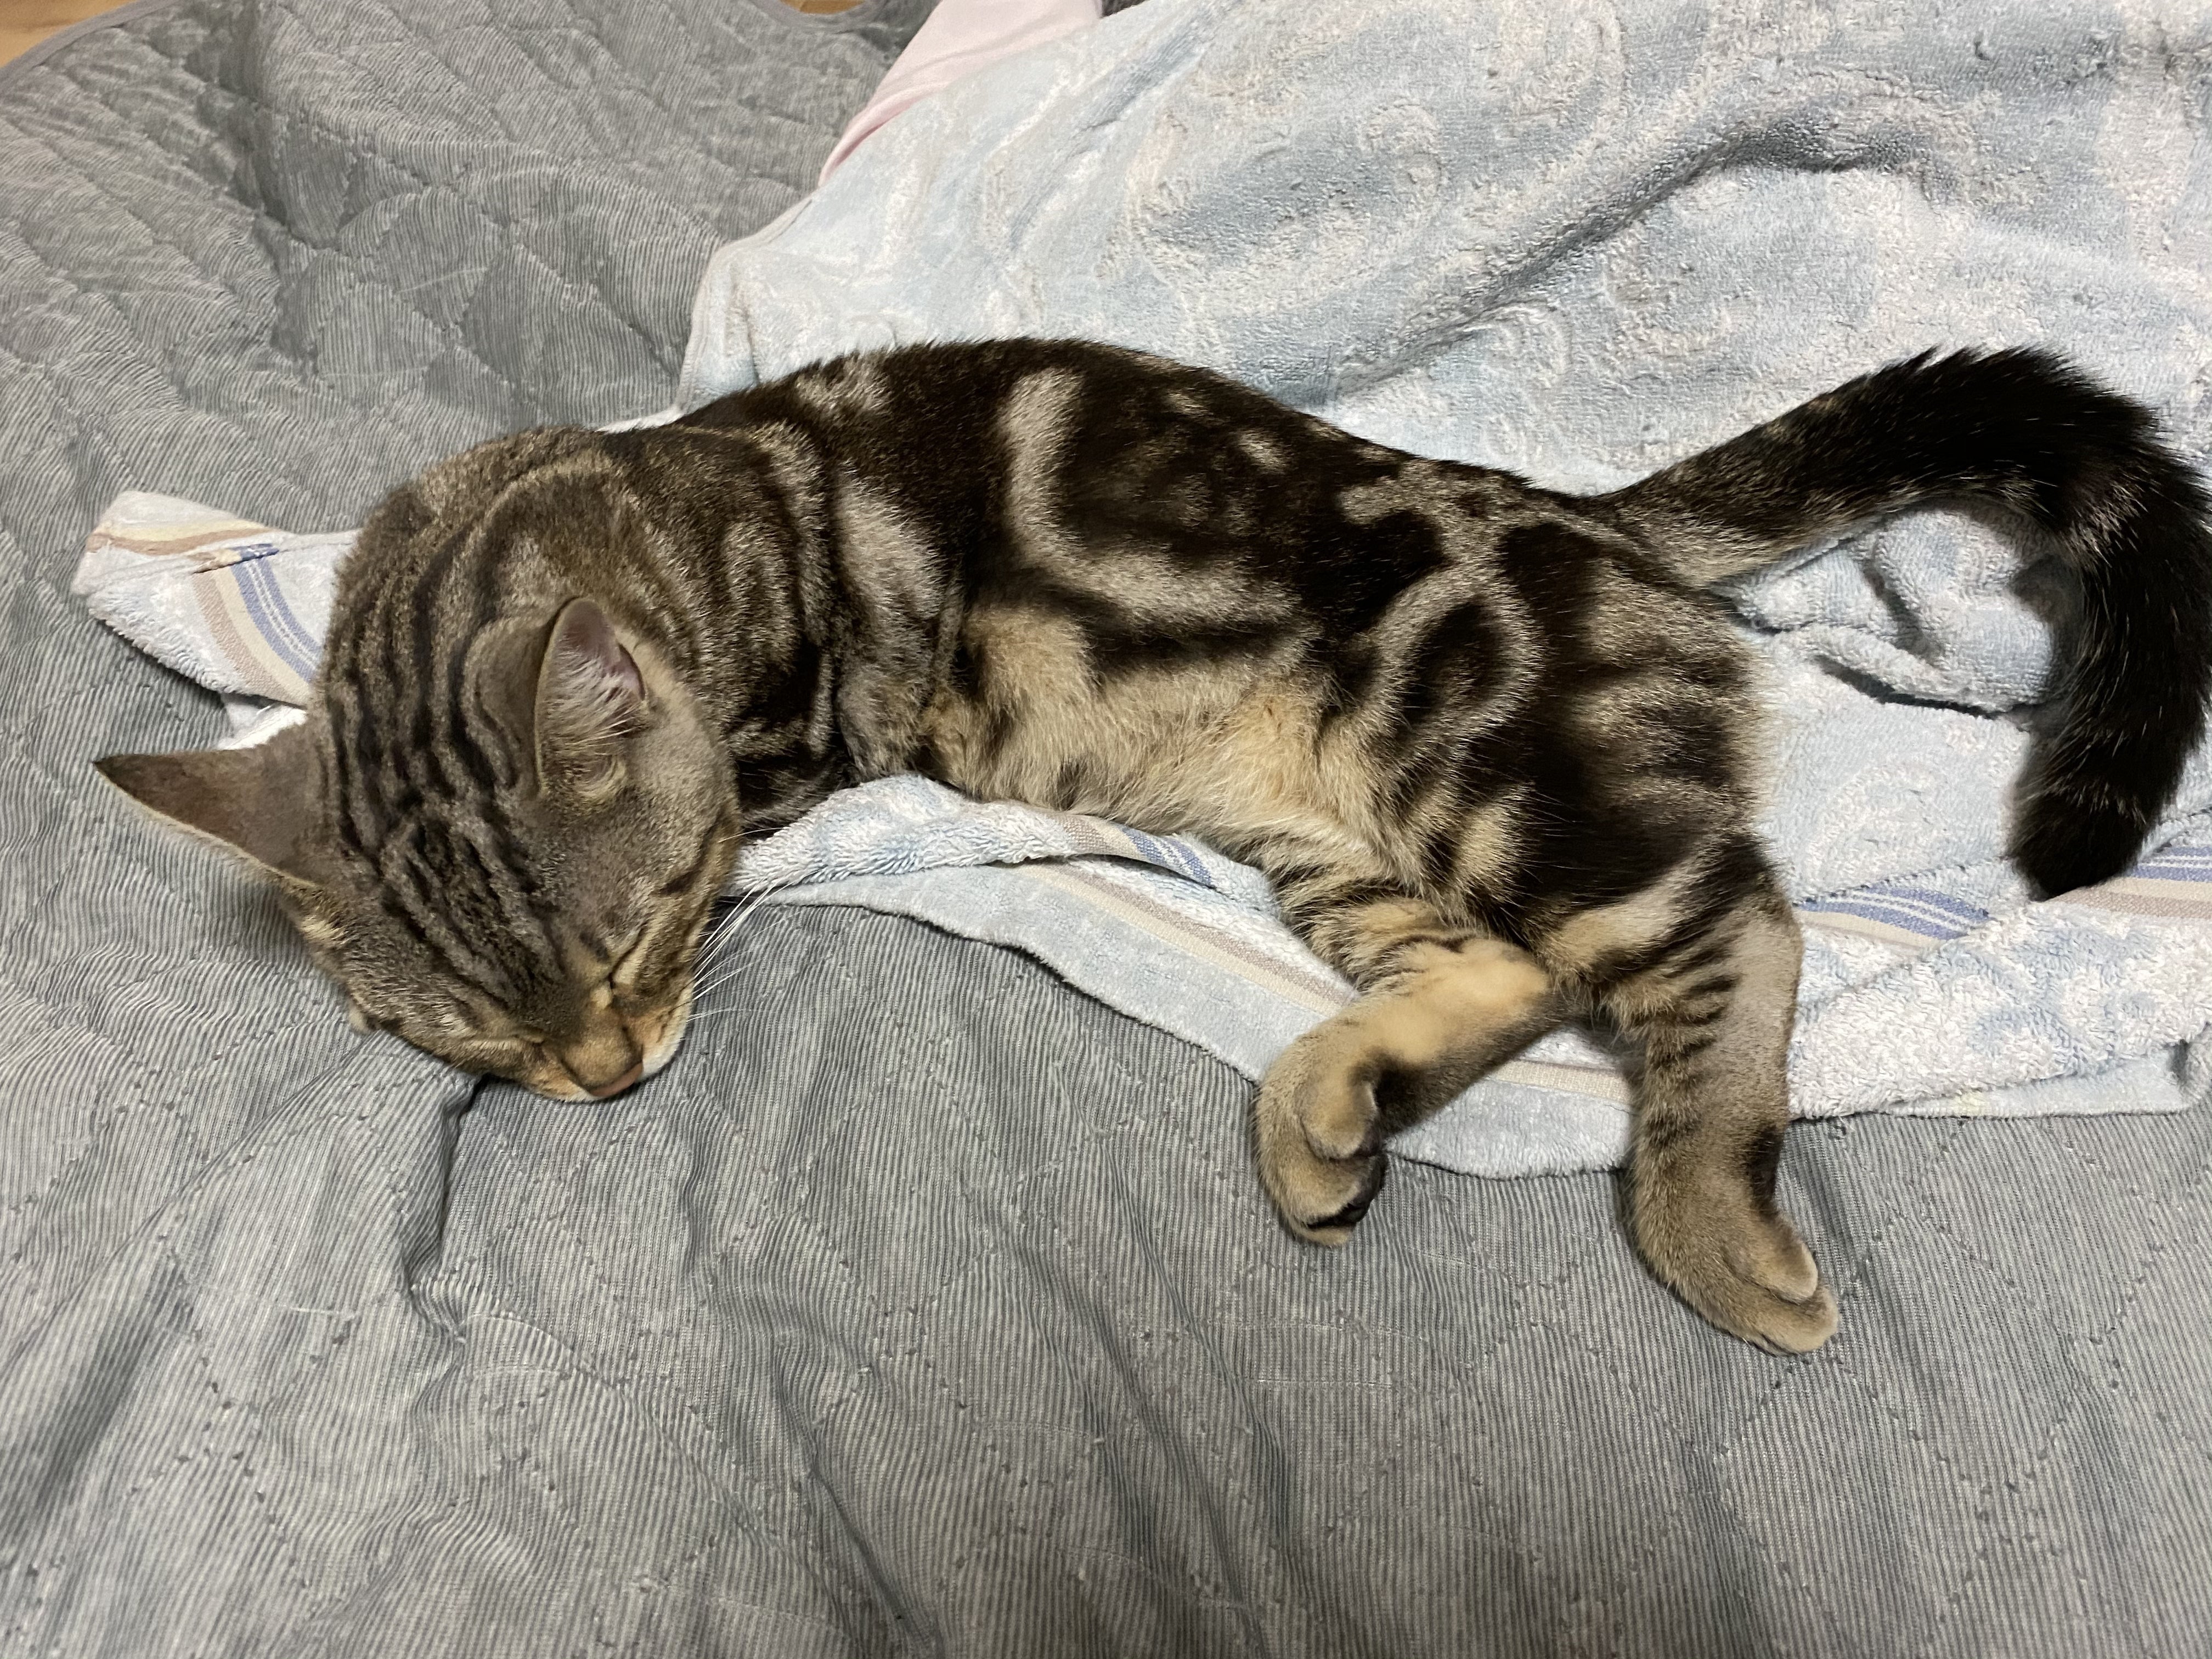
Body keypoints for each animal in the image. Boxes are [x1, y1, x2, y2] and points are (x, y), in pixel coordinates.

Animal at [98, 341, 2212, 1353]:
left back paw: (1703, 1214)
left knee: (1733, 931)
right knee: (1513, 975)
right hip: (1339, 842)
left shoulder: (794, 738)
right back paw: (1331, 1103)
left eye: (633, 948)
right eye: (478, 1033)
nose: (604, 1075)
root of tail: (1580, 514)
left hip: (1486, 762)